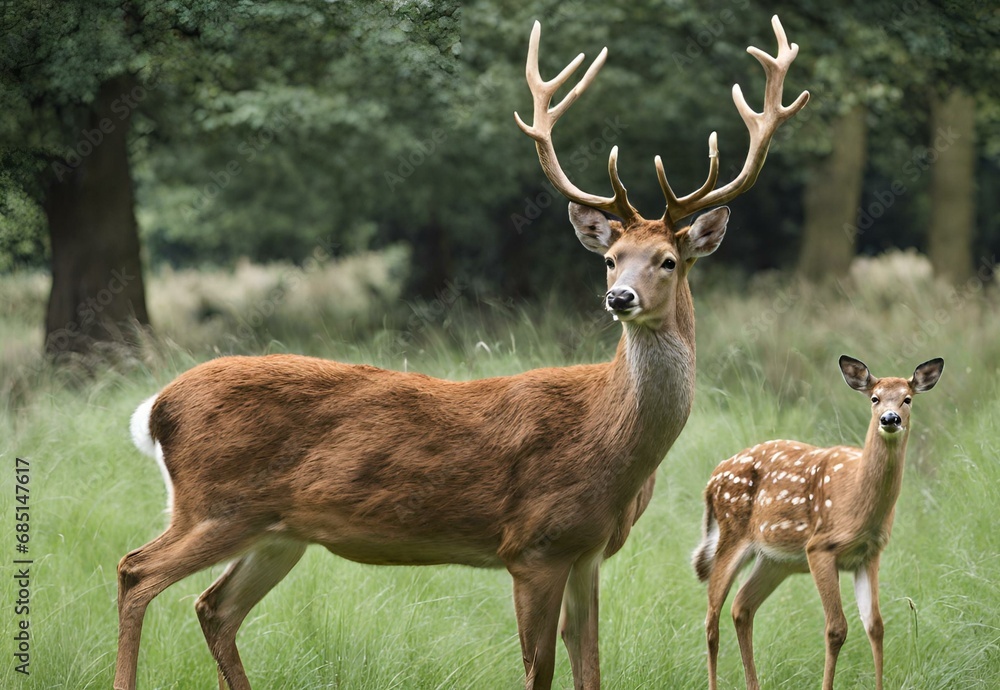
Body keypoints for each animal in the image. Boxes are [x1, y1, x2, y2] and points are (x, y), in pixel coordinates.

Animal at [114, 16, 808, 690]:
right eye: (611, 257)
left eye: (667, 260)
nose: (619, 297)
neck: (610, 442)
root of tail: (157, 408)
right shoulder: (532, 545)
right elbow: (540, 671)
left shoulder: (587, 552)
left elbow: (590, 667)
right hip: (216, 503)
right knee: (135, 572)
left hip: (276, 531)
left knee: (213, 607)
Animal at [693, 355, 944, 690]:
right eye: (874, 398)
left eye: (908, 399)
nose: (890, 419)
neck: (856, 501)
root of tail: (712, 479)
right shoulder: (820, 547)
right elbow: (836, 628)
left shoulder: (869, 554)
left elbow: (875, 626)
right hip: (731, 534)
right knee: (711, 617)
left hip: (776, 560)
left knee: (741, 607)